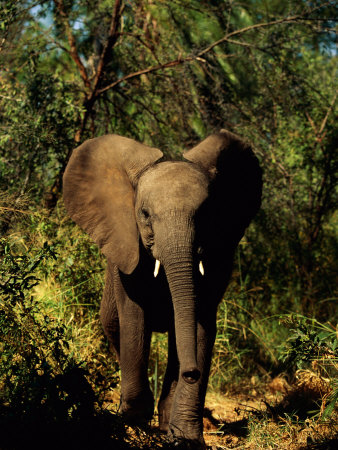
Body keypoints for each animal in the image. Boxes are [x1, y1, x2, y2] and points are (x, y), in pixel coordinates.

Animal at [64, 128, 264, 448]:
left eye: (207, 214)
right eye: (144, 214)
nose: (192, 373)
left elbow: (200, 324)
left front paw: (185, 438)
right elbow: (135, 317)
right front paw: (132, 425)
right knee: (115, 329)